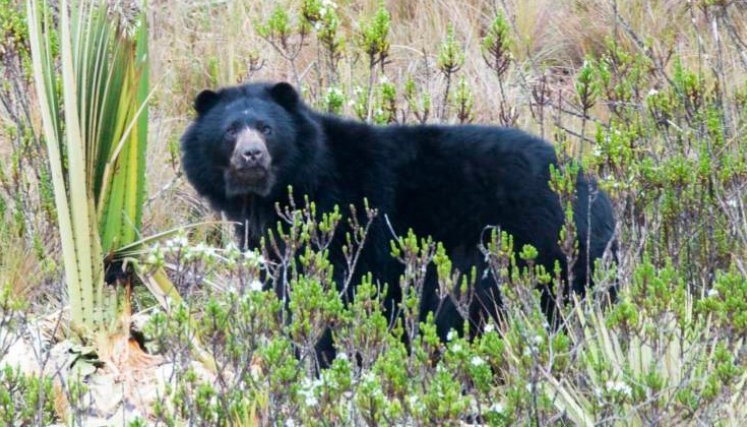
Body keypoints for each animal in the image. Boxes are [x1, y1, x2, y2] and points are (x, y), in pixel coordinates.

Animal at [180, 81, 616, 365]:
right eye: (229, 130)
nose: (251, 156)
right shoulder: (271, 239)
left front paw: (321, 355)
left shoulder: (343, 223)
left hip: (531, 247)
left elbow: (334, 292)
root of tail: (593, 193)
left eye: (267, 129)